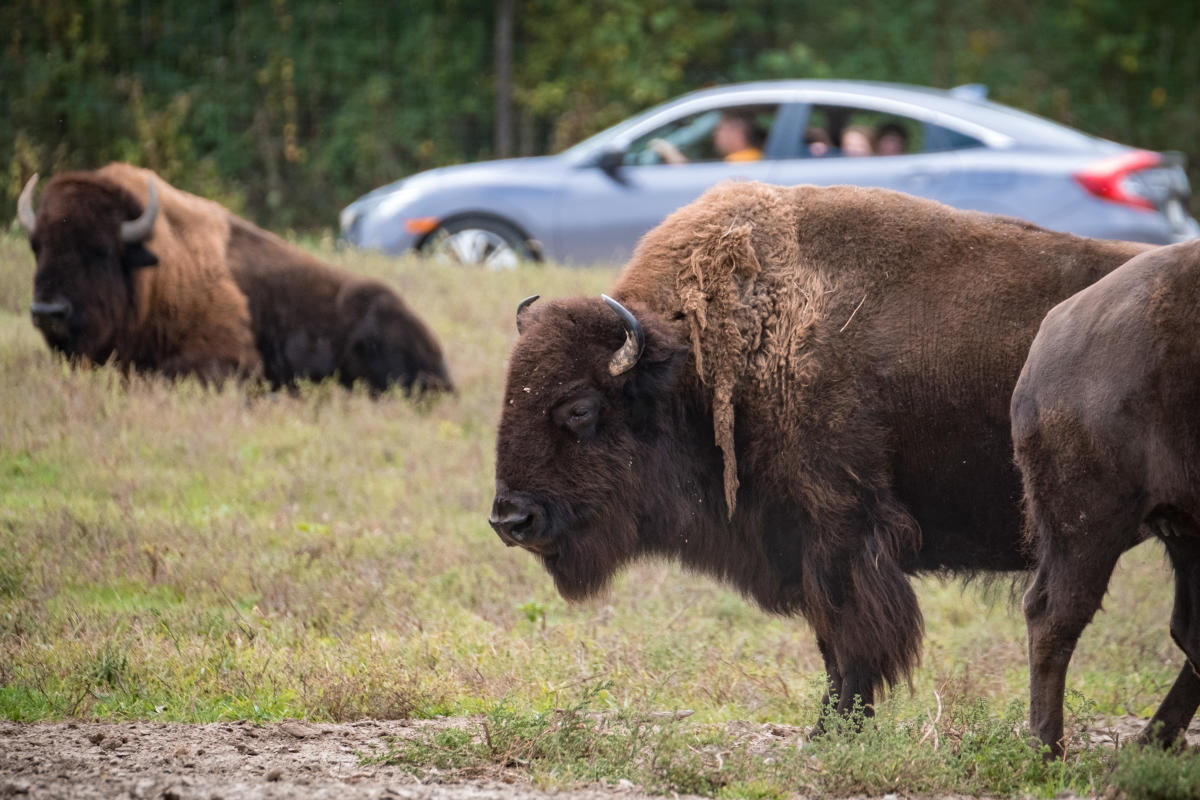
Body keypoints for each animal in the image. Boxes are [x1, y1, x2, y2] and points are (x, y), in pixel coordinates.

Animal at [489, 183, 1152, 734]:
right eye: (509, 393)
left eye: (578, 409)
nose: (510, 519)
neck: (705, 360)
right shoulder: (800, 541)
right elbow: (829, 641)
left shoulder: (841, 528)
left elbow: (850, 635)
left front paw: (834, 729)